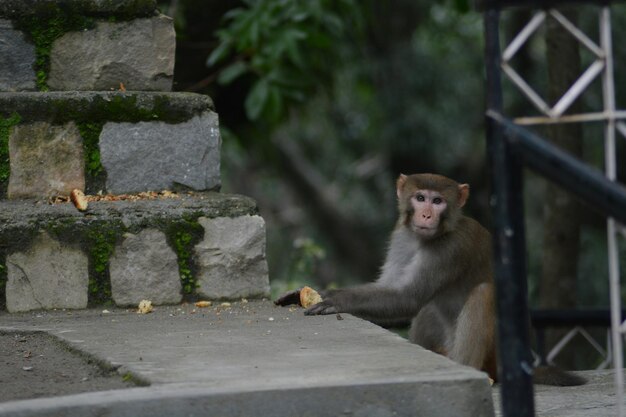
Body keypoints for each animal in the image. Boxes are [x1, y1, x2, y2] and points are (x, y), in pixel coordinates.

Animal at [276, 173, 584, 386]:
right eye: (420, 198)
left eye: (438, 201)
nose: (425, 215)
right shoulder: (401, 235)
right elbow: (392, 288)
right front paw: (304, 292)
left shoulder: (450, 249)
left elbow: (407, 297)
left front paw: (335, 298)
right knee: (429, 309)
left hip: (495, 357)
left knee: (484, 293)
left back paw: (470, 371)